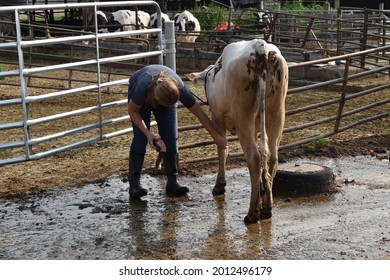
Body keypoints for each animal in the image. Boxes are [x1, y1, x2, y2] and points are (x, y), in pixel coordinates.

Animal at [186, 38, 290, 223]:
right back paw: (266, 206)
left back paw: (252, 212)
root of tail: (261, 48)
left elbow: (222, 149)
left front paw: (220, 185)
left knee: (254, 158)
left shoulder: (217, 119)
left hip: (244, 118)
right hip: (277, 114)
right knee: (271, 157)